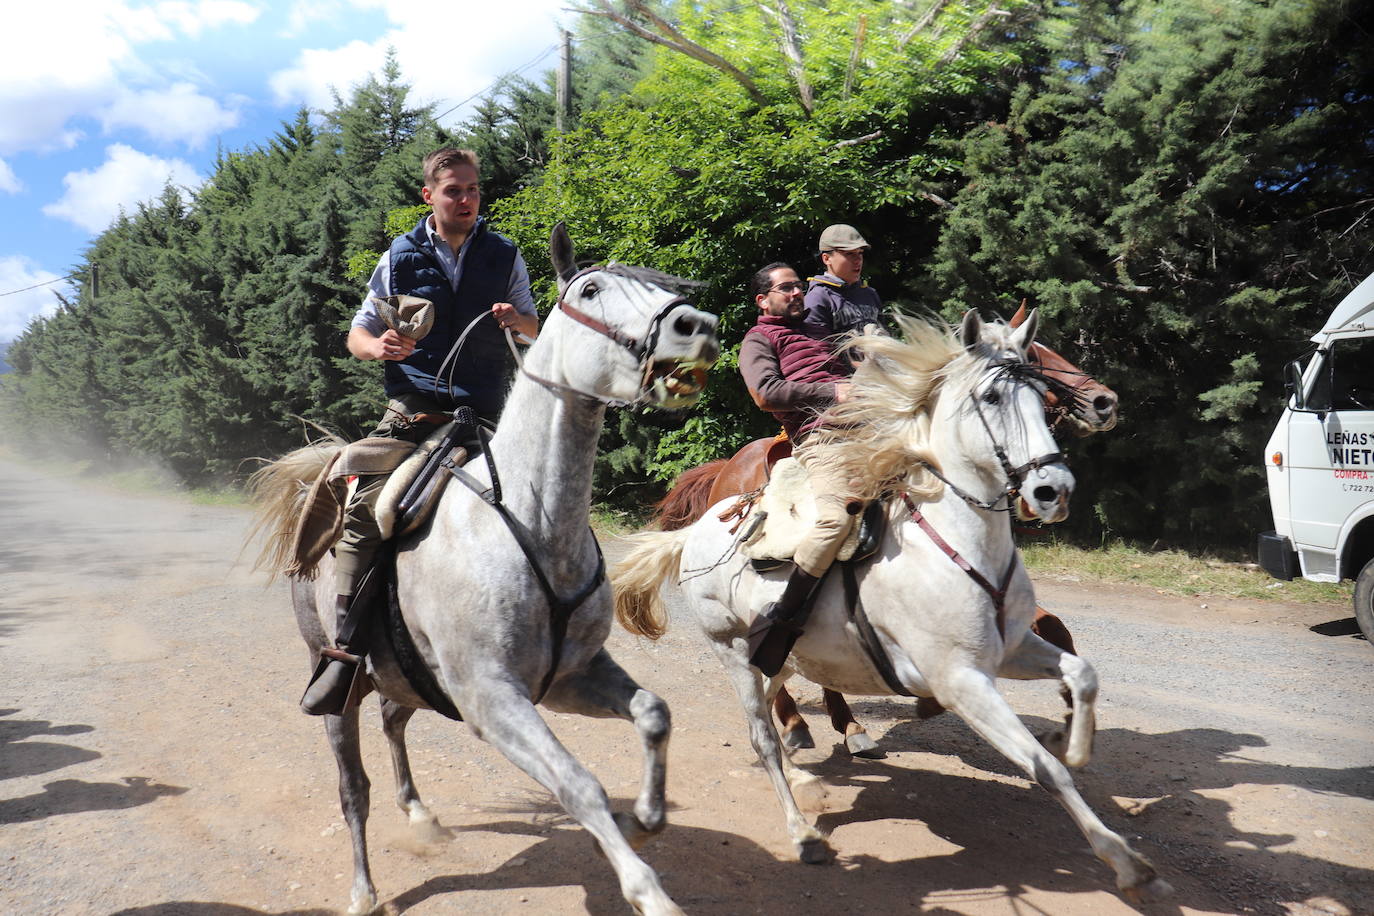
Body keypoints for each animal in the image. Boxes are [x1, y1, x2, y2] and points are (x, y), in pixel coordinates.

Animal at [250, 223, 719, 916]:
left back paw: (420, 816)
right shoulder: (493, 700)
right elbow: (579, 786)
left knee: (394, 721)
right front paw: (647, 889)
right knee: (352, 788)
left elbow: (654, 713)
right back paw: (364, 890)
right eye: (590, 289)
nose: (698, 325)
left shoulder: (568, 679)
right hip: (336, 682)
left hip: (402, 676)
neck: (532, 523)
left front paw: (645, 818)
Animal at [648, 311, 1110, 758]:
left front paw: (1072, 719)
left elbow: (1055, 628)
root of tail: (726, 471)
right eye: (1038, 356)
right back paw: (807, 724)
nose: (1104, 401)